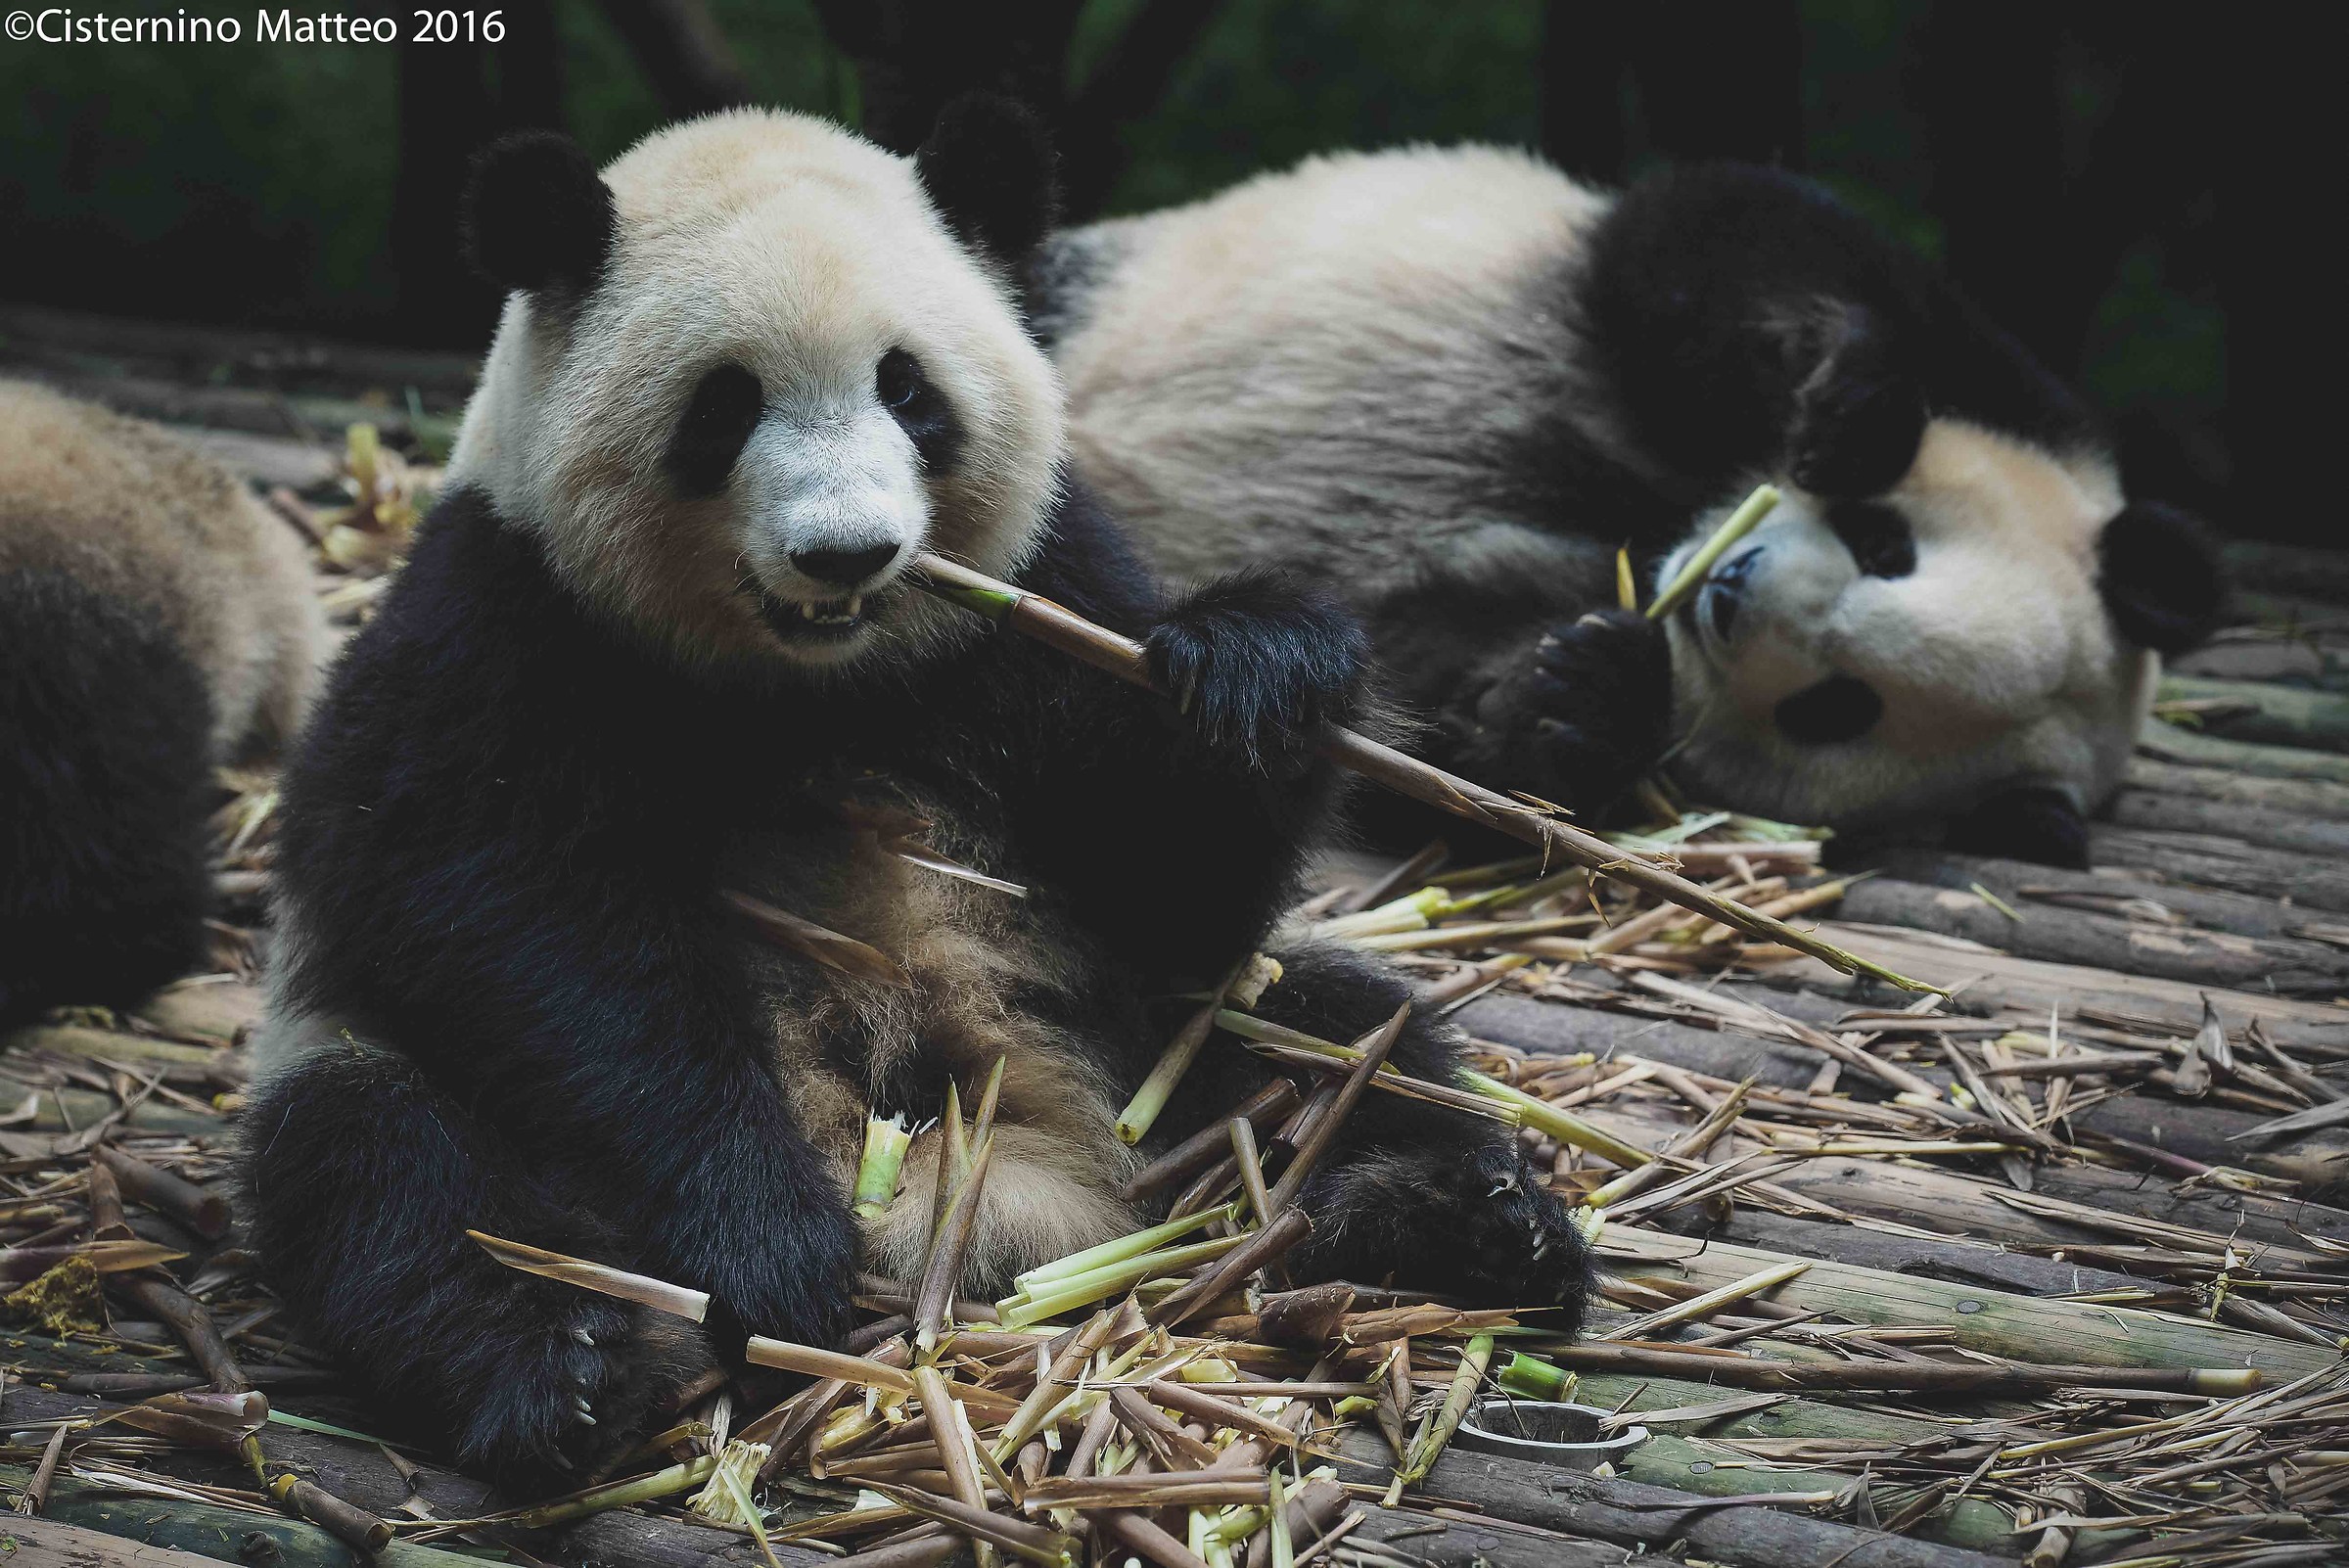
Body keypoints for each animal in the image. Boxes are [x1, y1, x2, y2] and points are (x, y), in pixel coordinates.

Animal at [240, 103, 1586, 1488]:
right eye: (725, 406)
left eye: (909, 389)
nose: (848, 554)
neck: (811, 683)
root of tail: (979, 1210)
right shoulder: (502, 619)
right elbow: (511, 919)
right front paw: (763, 1243)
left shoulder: (1040, 596)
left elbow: (1166, 878)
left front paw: (1255, 671)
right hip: (379, 1073)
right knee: (394, 1170)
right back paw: (559, 1368)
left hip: (1143, 1054)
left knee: (1338, 1044)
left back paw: (1463, 1228)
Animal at [1031, 148, 2226, 868]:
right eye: (1886, 543)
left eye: (1839, 707)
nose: (1733, 592)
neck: (1652, 529)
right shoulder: (2007, 385)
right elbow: (1722, 247)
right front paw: (1854, 406)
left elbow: (1437, 732)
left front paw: (1584, 693)